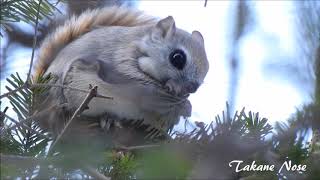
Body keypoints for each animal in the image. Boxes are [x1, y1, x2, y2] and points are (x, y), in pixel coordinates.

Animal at [31, 5, 208, 134]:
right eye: (177, 58)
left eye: (207, 67)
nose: (192, 88)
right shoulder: (119, 62)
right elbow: (139, 87)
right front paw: (177, 98)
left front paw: (183, 104)